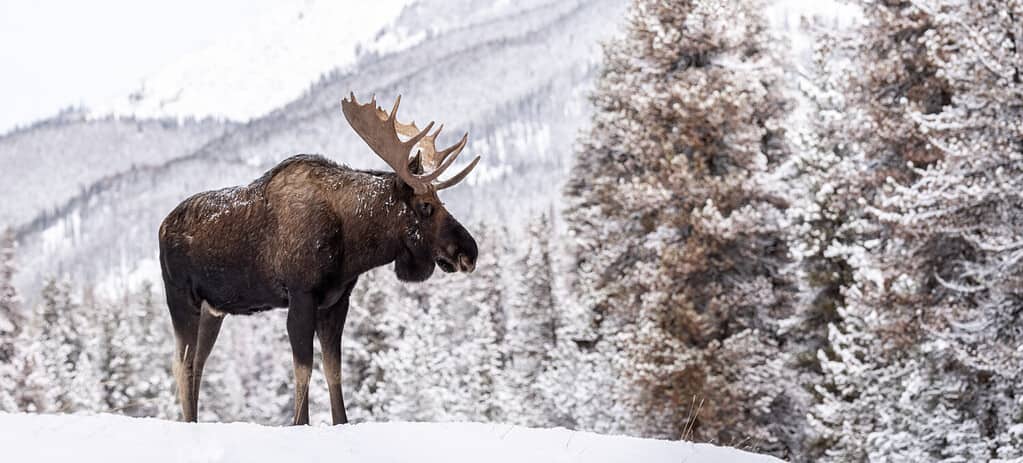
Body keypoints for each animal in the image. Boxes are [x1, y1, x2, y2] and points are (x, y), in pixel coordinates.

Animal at [157, 93, 480, 423]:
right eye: (426, 206)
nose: (470, 251)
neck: (352, 244)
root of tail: (162, 226)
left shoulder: (336, 301)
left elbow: (333, 370)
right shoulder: (301, 296)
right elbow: (304, 371)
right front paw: (300, 423)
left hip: (214, 310)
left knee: (197, 364)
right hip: (181, 298)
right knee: (181, 364)